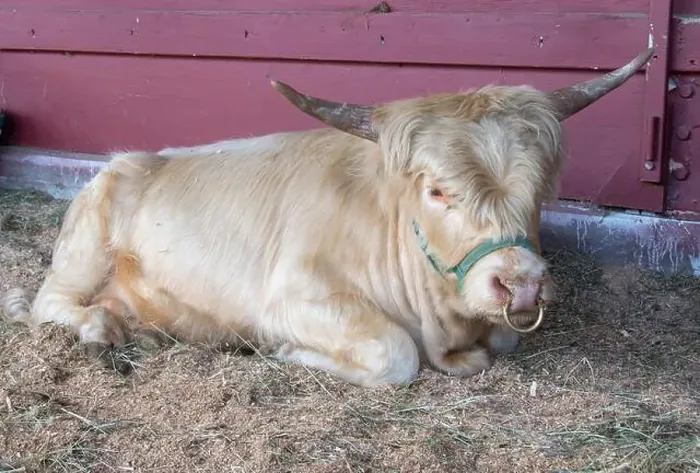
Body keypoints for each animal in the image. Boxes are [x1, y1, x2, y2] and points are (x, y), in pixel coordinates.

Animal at [2, 49, 653, 386]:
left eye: (541, 188)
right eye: (437, 190)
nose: (520, 284)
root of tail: (126, 160)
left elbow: (501, 341)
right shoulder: (290, 300)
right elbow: (395, 355)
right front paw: (290, 354)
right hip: (82, 256)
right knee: (50, 304)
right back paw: (99, 328)